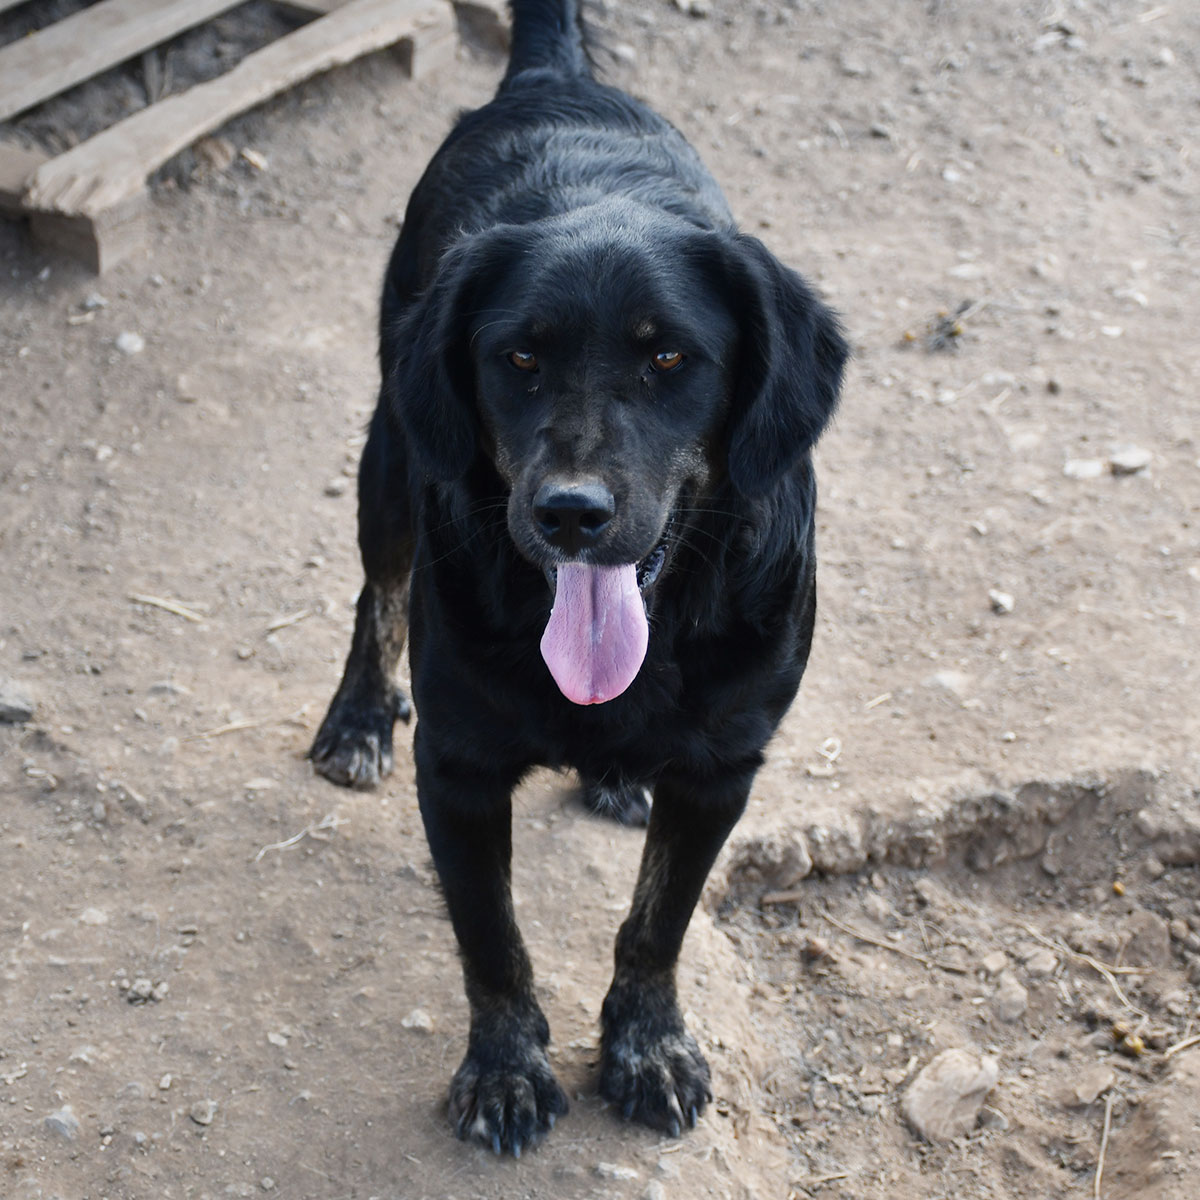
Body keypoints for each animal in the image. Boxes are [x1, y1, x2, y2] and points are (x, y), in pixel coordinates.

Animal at [309, 0, 847, 1157]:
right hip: (390, 448)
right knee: (377, 590)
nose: (569, 512)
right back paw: (360, 717)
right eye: (517, 358)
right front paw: (506, 1072)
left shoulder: (722, 770)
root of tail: (551, 79)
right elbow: (493, 943)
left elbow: (657, 925)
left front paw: (647, 1049)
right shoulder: (459, 771)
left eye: (669, 358)